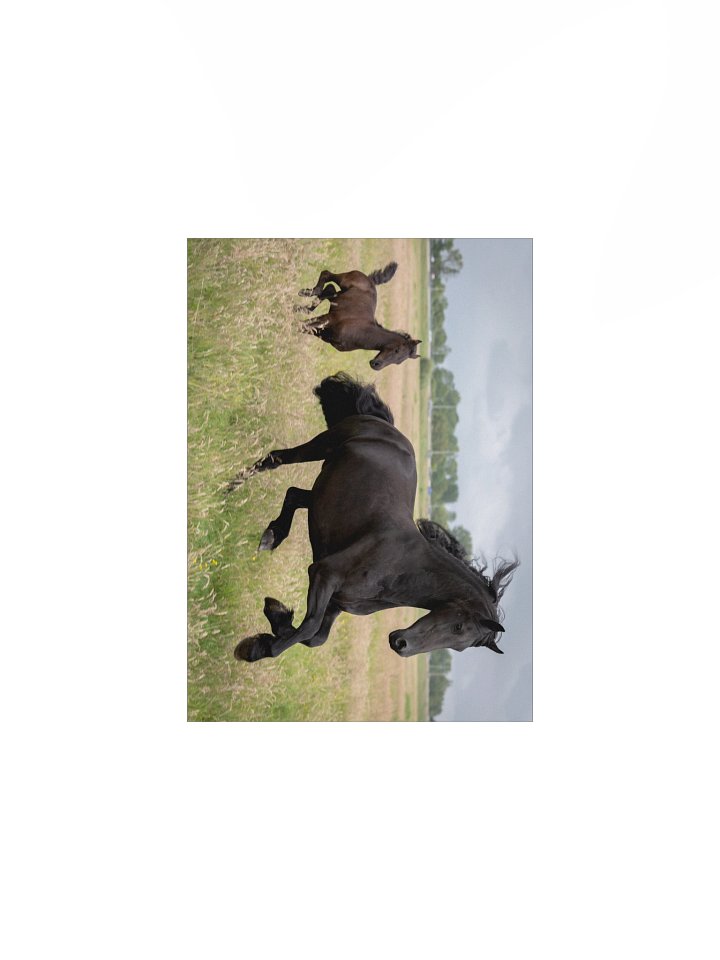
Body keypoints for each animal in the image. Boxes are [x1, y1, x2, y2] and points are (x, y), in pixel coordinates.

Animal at [231, 373, 518, 663]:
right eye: (458, 627)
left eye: (460, 645)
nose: (401, 644)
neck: (399, 568)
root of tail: (383, 423)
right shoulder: (324, 574)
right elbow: (308, 627)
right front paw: (255, 647)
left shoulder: (336, 603)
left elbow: (315, 639)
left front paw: (276, 615)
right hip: (319, 447)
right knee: (276, 459)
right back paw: (229, 489)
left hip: (321, 492)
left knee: (293, 494)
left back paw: (272, 535)